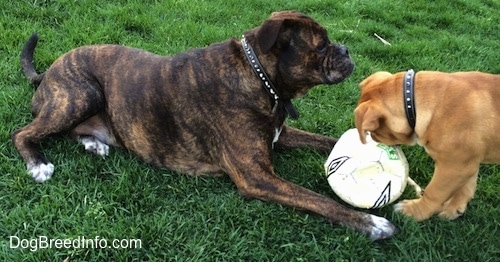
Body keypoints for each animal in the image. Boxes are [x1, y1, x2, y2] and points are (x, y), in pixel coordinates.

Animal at [11, 10, 394, 239]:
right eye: (322, 45)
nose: (346, 50)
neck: (258, 76)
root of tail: (49, 70)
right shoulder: (257, 176)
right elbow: (318, 199)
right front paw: (372, 223)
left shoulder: (281, 135)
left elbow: (326, 140)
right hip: (80, 95)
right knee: (23, 132)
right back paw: (39, 164)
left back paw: (94, 143)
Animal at [354, 70, 500, 221]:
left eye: (374, 130)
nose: (372, 138)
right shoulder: (467, 163)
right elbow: (467, 186)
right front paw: (454, 208)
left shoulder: (453, 167)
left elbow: (434, 192)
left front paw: (414, 211)